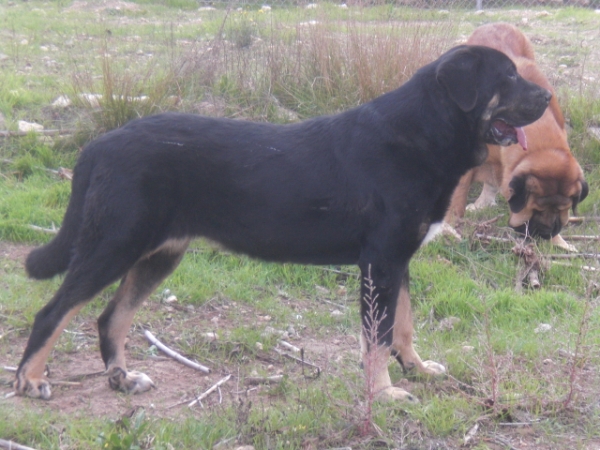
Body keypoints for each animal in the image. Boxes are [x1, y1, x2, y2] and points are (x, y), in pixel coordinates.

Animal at [15, 44, 548, 400]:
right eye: (507, 78)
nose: (546, 97)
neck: (423, 132)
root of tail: (100, 144)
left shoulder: (399, 263)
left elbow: (403, 326)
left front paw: (416, 370)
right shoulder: (380, 262)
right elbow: (376, 338)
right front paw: (384, 394)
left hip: (158, 255)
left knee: (111, 317)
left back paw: (122, 378)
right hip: (113, 244)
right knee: (54, 311)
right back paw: (31, 379)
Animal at [448, 22, 588, 250]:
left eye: (562, 210)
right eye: (536, 209)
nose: (546, 234)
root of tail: (495, 23)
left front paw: (561, 242)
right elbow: (457, 198)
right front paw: (451, 228)